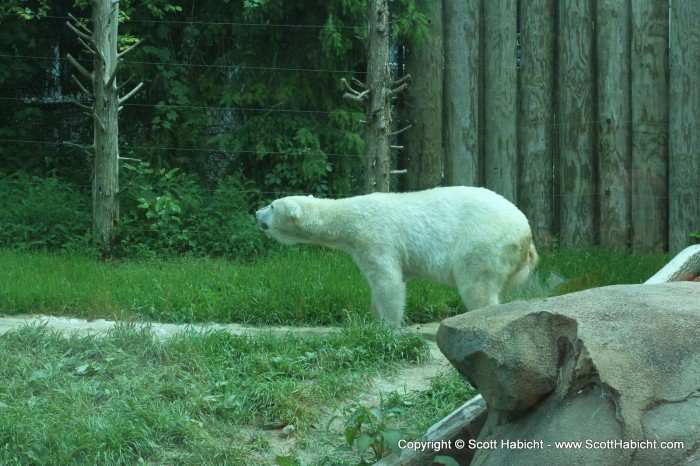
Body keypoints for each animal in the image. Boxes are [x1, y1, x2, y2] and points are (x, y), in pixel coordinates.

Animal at [254, 186, 540, 328]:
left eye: (271, 205)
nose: (255, 214)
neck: (350, 218)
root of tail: (526, 231)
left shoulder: (376, 237)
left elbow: (388, 283)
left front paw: (387, 328)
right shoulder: (360, 248)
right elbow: (375, 285)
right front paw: (373, 322)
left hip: (482, 243)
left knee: (477, 288)